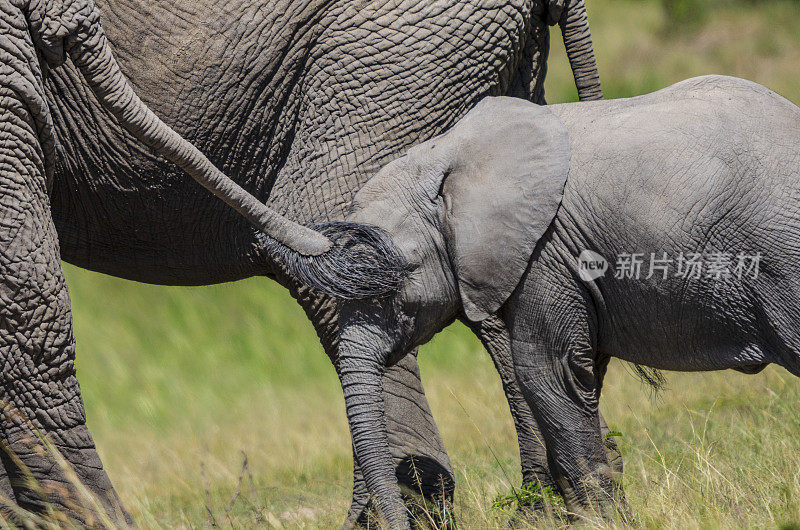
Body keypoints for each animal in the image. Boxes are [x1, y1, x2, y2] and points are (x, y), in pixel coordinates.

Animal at [336, 75, 800, 524]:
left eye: (397, 278)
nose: (397, 518)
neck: (445, 154)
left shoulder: (545, 252)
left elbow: (548, 368)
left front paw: (600, 521)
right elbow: (581, 371)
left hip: (780, 258)